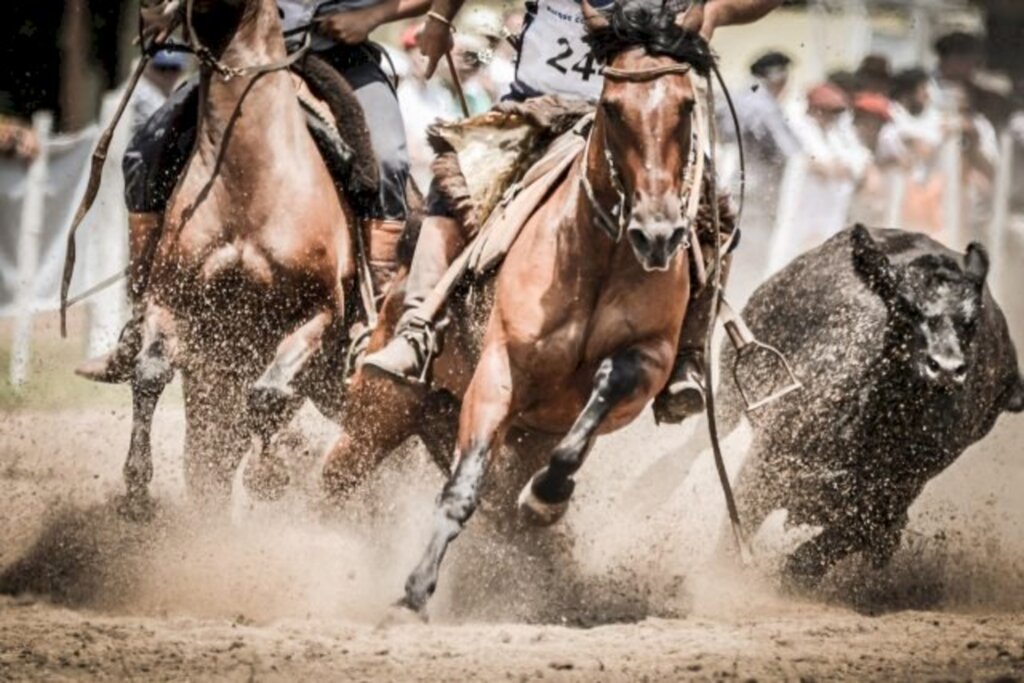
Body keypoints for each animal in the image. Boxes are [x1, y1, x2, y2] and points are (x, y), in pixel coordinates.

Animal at [720, 225, 1024, 589]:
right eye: (906, 307)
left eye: (971, 319)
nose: (947, 368)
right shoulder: (761, 473)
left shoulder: (881, 512)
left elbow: (811, 559)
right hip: (728, 387)